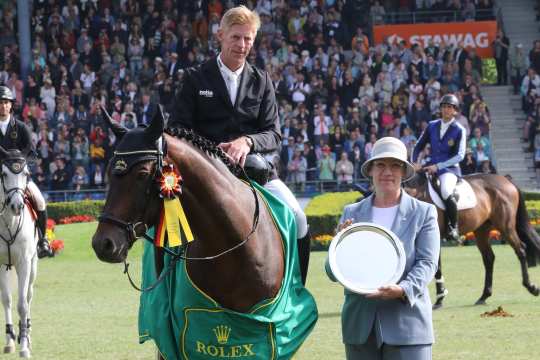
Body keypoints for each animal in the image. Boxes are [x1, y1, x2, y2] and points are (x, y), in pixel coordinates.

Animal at [404, 173, 540, 308]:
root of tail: (506, 180)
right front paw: (439, 297)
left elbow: (435, 267)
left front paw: (439, 299)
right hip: (482, 230)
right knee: (489, 258)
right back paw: (484, 296)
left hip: (505, 226)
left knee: (520, 249)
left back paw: (531, 287)